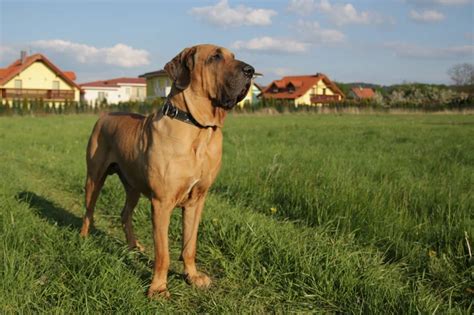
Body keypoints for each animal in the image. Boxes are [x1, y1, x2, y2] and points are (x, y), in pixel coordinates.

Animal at [78, 44, 256, 298]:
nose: (251, 70)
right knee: (89, 210)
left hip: (132, 184)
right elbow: (163, 253)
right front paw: (159, 288)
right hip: (94, 177)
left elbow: (190, 244)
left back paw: (133, 245)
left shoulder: (196, 200)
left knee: (125, 213)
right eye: (215, 57)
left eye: (233, 56)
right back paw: (83, 238)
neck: (198, 128)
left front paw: (192, 276)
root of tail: (105, 114)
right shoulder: (162, 203)